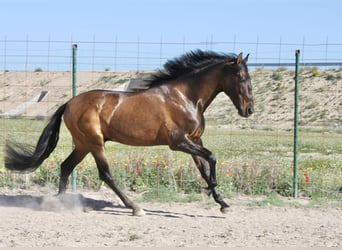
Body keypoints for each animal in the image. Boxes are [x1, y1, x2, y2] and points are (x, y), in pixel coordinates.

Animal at [4, 49, 252, 216]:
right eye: (242, 78)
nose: (248, 110)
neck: (186, 97)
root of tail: (70, 103)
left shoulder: (194, 141)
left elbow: (205, 167)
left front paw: (222, 202)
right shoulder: (179, 142)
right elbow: (212, 157)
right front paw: (211, 192)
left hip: (83, 145)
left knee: (66, 166)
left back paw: (60, 203)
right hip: (95, 143)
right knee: (106, 174)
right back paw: (135, 207)